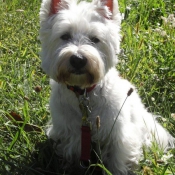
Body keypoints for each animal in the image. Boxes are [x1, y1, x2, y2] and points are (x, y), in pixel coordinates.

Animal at [39, 0, 174, 174]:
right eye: (65, 36)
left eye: (95, 39)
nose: (78, 59)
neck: (84, 94)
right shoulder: (71, 134)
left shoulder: (119, 136)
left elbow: (117, 163)